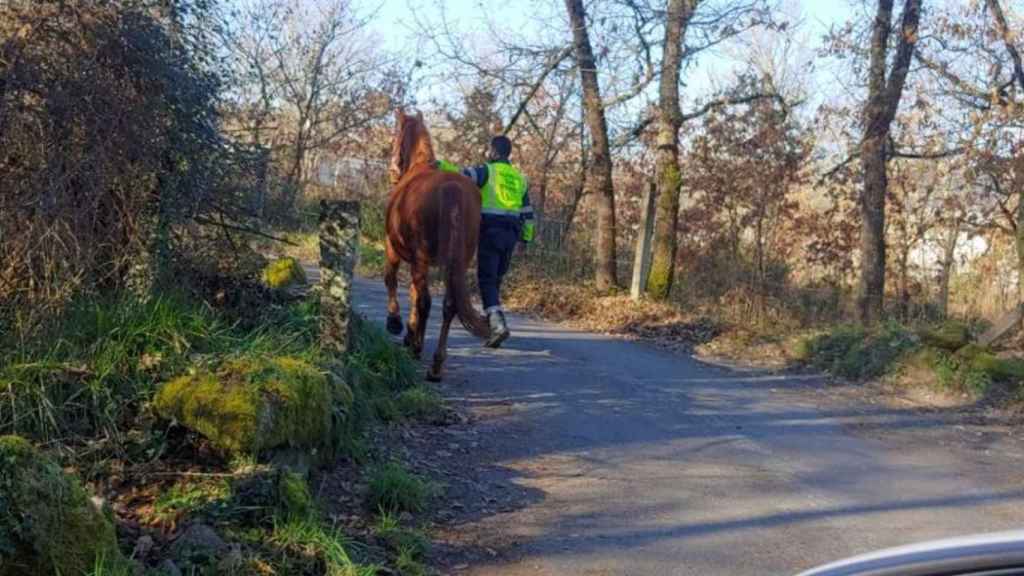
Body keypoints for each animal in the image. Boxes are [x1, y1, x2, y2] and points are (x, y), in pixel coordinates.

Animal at [387, 109, 491, 379]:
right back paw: (435, 362)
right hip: (457, 262)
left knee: (426, 301)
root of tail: (452, 189)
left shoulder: (393, 248)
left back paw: (419, 350)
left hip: (422, 257)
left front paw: (396, 323)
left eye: (394, 136)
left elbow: (392, 281)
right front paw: (410, 332)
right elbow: (413, 293)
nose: (393, 171)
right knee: (448, 305)